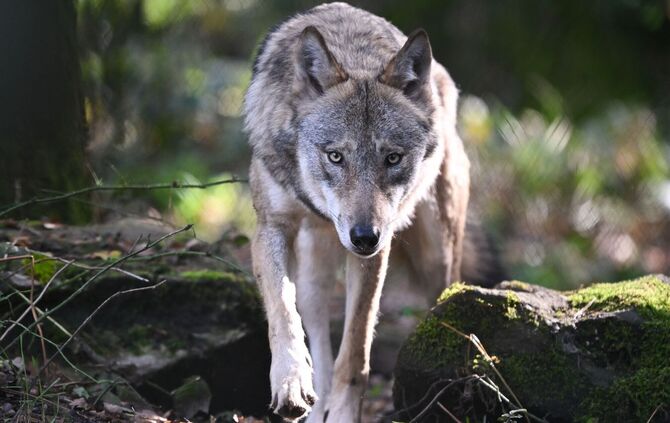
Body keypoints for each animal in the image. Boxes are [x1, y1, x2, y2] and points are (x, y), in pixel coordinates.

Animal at [243, 3, 500, 422]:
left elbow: (355, 352)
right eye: (335, 156)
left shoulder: (375, 254)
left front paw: (344, 414)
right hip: (315, 268)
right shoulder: (271, 227)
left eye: (392, 158)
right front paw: (290, 382)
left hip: (437, 256)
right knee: (315, 329)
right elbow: (282, 310)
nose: (364, 236)